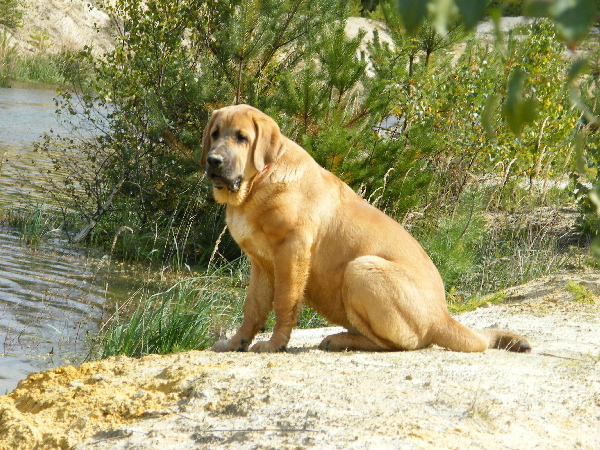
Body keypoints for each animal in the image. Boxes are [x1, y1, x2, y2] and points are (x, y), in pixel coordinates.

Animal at [200, 103, 528, 354]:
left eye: (242, 138)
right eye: (215, 134)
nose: (213, 160)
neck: (256, 184)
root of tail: (442, 318)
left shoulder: (292, 251)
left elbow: (285, 302)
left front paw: (274, 344)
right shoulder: (261, 262)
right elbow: (253, 308)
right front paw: (235, 343)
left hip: (361, 268)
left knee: (402, 343)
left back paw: (340, 339)